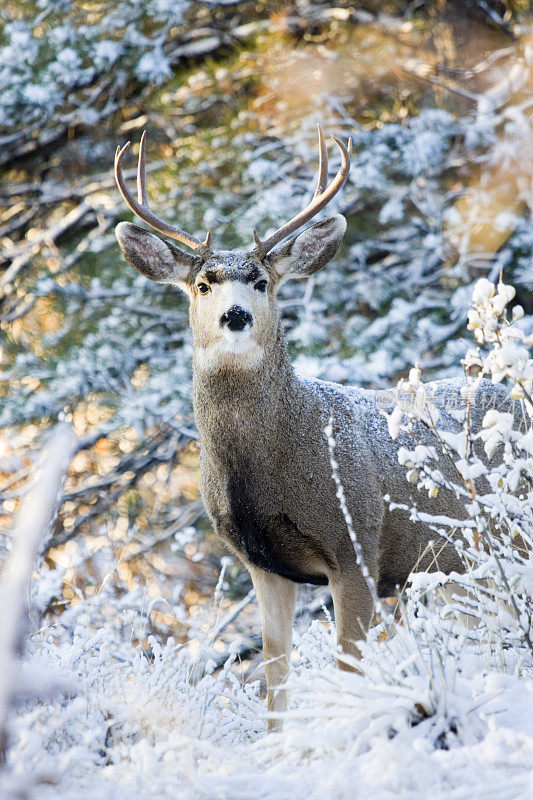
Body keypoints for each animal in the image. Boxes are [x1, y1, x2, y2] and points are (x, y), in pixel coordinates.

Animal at [115, 125, 508, 732]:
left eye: (261, 281)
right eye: (203, 283)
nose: (235, 315)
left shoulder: (358, 543)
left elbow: (348, 666)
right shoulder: (263, 564)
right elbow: (275, 678)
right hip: (463, 569)